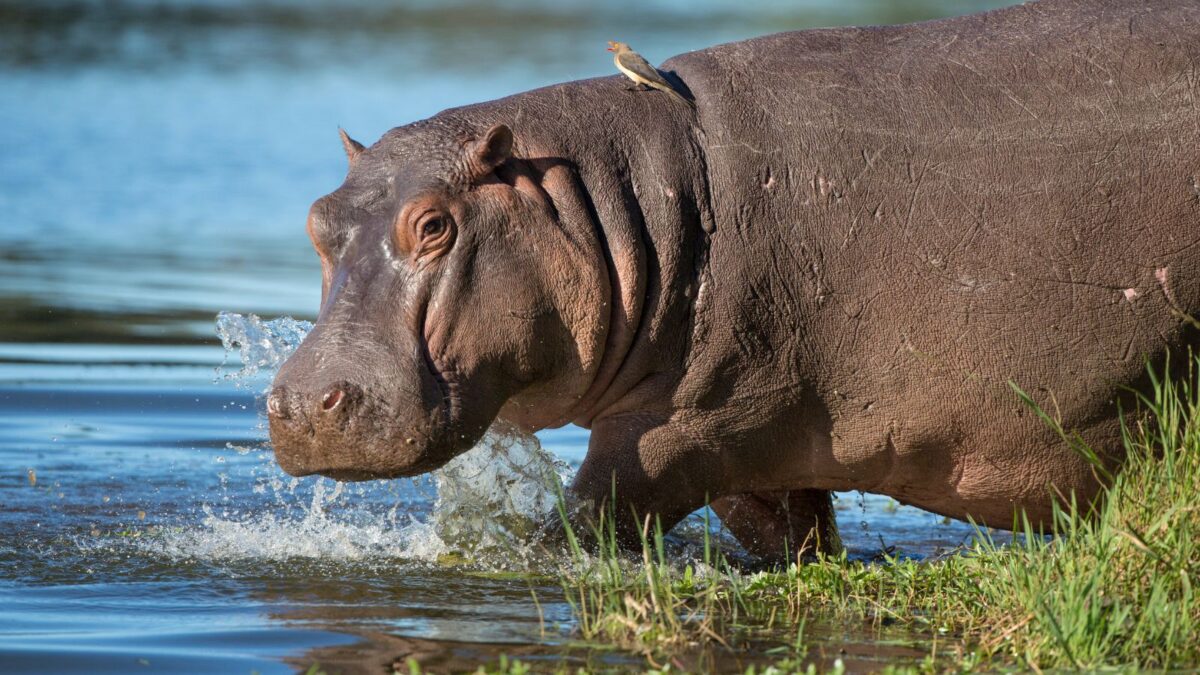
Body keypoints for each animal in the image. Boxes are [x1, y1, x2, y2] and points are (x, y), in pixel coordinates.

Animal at [267, 0, 1200, 559]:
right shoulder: (766, 446)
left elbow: (582, 521)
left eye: (433, 224)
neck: (611, 197)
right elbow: (793, 535)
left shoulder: (686, 426)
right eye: (316, 218)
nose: (304, 402)